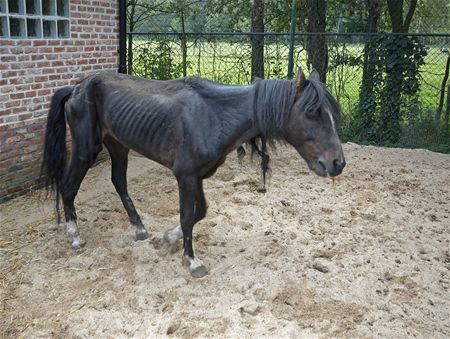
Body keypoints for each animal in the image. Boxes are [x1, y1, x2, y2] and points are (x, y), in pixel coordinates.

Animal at [41, 69, 344, 278]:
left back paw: (139, 228)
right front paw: (192, 260)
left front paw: (169, 238)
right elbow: (188, 217)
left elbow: (200, 212)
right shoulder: (185, 176)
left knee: (119, 182)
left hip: (118, 146)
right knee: (68, 187)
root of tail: (76, 88)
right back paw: (75, 236)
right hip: (86, 149)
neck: (214, 114)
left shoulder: (197, 176)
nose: (338, 163)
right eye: (312, 112)